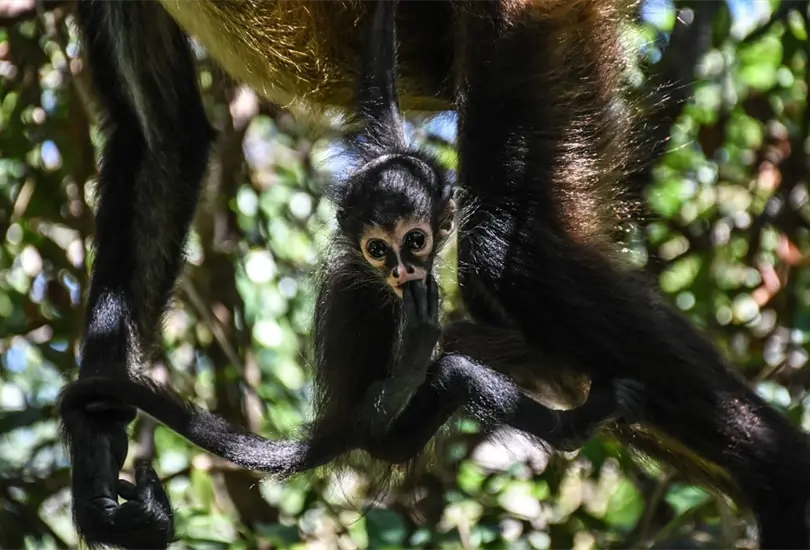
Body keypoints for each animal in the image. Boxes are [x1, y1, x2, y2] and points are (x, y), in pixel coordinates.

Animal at [50, 0, 810, 547]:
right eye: (384, 250)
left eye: (410, 244)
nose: (402, 267)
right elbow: (161, 135)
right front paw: (95, 462)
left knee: (508, 257)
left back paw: (782, 484)